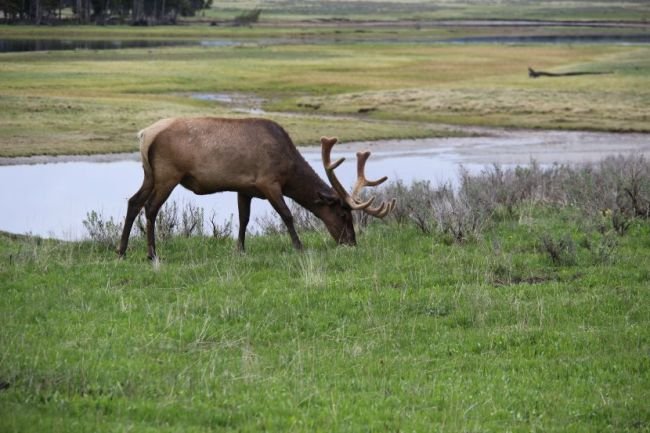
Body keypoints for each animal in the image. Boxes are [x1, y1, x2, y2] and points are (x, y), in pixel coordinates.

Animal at [117, 117, 395, 259]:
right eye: (343, 213)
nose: (351, 242)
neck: (288, 169)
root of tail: (144, 135)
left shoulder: (245, 188)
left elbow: (244, 219)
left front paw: (240, 249)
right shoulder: (268, 181)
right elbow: (287, 214)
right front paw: (299, 247)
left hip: (150, 174)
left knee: (133, 201)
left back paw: (121, 251)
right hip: (168, 173)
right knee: (150, 208)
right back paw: (151, 254)